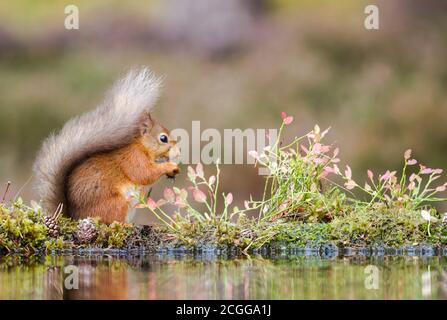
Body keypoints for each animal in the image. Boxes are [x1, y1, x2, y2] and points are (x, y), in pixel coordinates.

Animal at [33, 67, 180, 222]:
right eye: (163, 138)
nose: (179, 151)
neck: (142, 146)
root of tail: (75, 218)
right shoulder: (133, 158)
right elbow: (144, 173)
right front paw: (170, 166)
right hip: (115, 204)